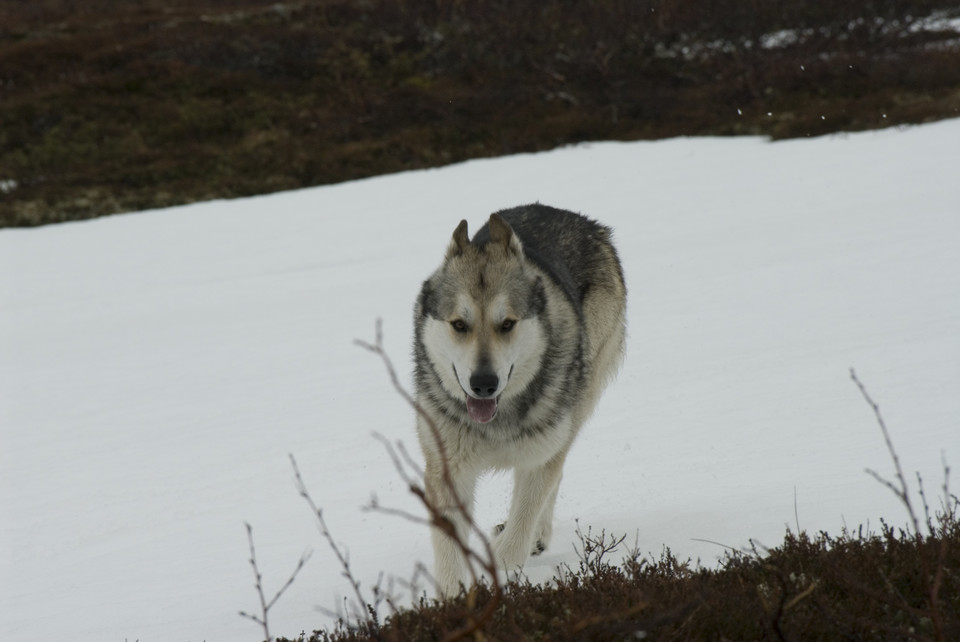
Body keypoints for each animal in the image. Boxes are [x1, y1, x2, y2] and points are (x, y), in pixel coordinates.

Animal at [412, 202, 632, 592]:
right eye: (459, 325)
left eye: (507, 324)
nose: (484, 383)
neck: (497, 421)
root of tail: (586, 222)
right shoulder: (447, 470)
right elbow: (450, 557)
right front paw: (454, 601)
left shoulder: (542, 455)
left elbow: (519, 530)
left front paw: (502, 569)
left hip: (574, 410)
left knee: (552, 479)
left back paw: (537, 537)